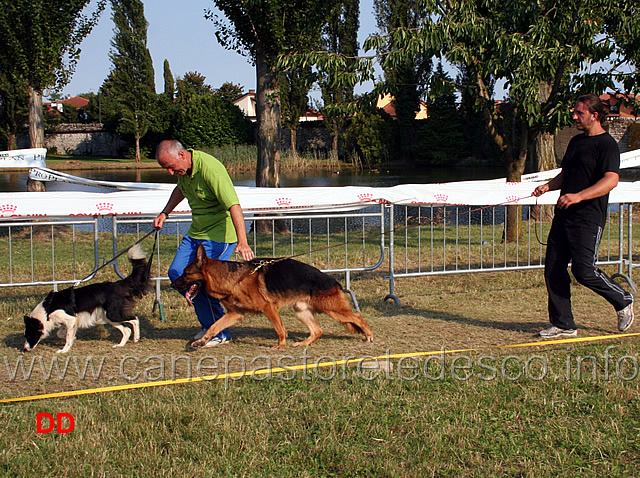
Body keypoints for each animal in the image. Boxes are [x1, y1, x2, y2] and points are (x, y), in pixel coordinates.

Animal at [23, 245, 151, 352]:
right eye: (26, 335)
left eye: (30, 335)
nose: (24, 349)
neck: (47, 310)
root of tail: (118, 284)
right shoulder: (69, 321)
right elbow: (62, 333)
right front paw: (70, 337)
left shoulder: (71, 319)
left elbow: (67, 337)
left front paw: (64, 350)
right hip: (108, 316)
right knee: (126, 330)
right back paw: (120, 345)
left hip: (113, 314)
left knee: (135, 319)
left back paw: (136, 338)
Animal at [175, 245, 376, 350]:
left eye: (186, 273)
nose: (173, 284)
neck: (234, 279)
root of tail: (334, 281)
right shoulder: (235, 314)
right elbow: (213, 327)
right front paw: (201, 341)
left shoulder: (268, 308)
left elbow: (280, 329)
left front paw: (280, 346)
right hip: (301, 311)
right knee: (317, 331)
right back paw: (303, 343)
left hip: (332, 310)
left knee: (357, 317)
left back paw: (369, 335)